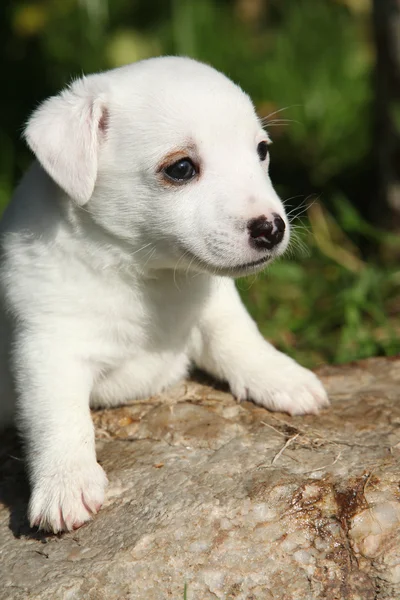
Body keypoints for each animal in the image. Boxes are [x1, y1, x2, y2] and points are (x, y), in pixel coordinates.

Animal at [0, 56, 328, 532]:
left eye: (262, 151)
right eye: (181, 169)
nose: (272, 228)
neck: (146, 275)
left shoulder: (215, 305)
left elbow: (239, 338)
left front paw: (281, 376)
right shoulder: (47, 349)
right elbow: (58, 418)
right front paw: (66, 482)